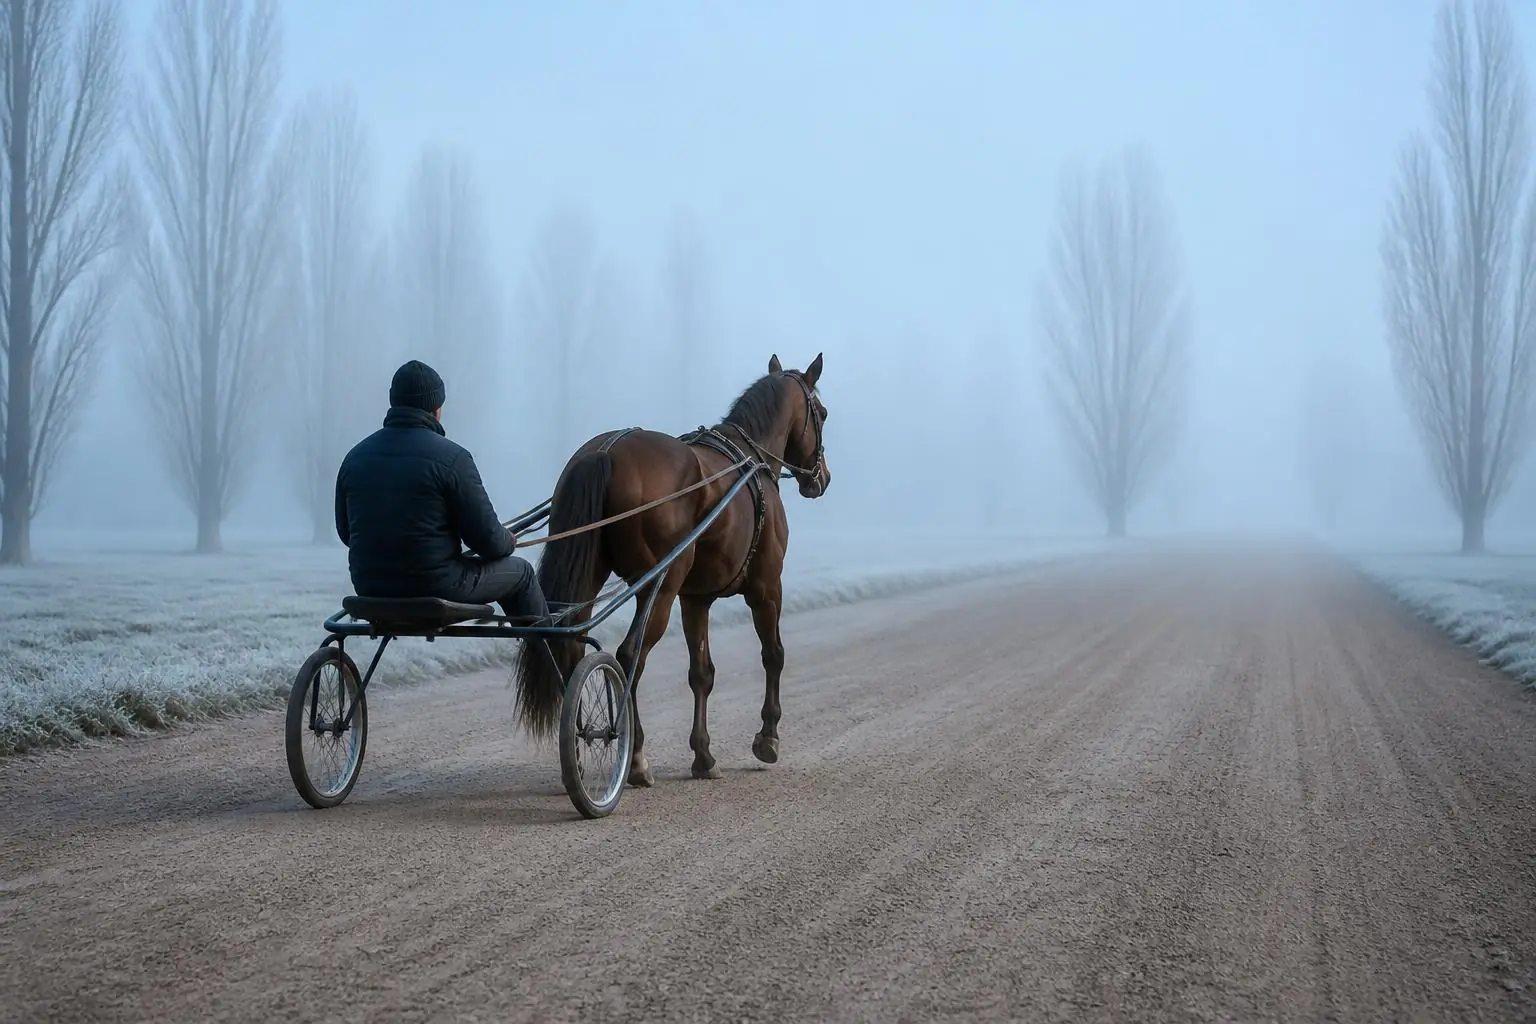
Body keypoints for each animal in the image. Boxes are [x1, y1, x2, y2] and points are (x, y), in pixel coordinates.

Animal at [512, 353, 831, 786]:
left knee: (574, 645)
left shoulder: (695, 599)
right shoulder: (766, 588)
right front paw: (768, 736)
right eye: (823, 413)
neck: (752, 459)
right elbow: (774, 654)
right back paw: (634, 756)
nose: (822, 478)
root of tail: (607, 451)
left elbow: (702, 673)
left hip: (595, 576)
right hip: (658, 586)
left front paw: (704, 754)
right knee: (629, 656)